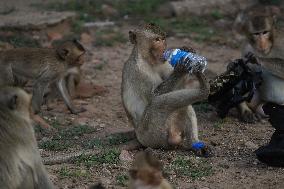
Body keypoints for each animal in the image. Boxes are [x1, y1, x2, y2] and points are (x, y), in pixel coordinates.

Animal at [121, 23, 210, 156]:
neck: (147, 60)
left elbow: (177, 88)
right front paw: (182, 65)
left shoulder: (164, 63)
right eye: (157, 40)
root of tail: (139, 137)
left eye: (163, 39)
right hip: (152, 136)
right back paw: (204, 89)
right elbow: (154, 96)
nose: (164, 48)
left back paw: (195, 144)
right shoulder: (139, 71)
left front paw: (187, 51)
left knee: (184, 105)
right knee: (158, 103)